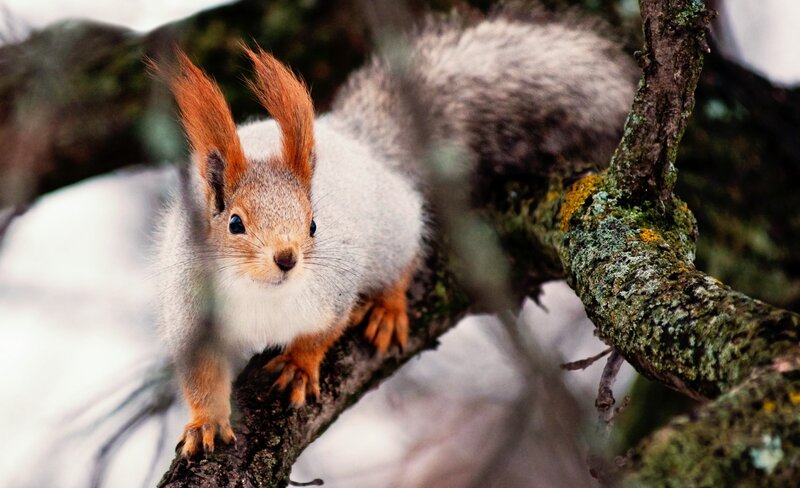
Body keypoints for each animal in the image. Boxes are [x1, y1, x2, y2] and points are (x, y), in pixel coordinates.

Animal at [156, 5, 636, 458]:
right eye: (234, 223)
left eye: (313, 224)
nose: (287, 258)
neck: (261, 292)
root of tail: (359, 141)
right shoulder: (192, 310)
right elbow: (201, 376)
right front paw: (205, 422)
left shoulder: (335, 287)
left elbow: (323, 332)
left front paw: (300, 365)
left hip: (392, 232)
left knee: (404, 258)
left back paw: (387, 307)